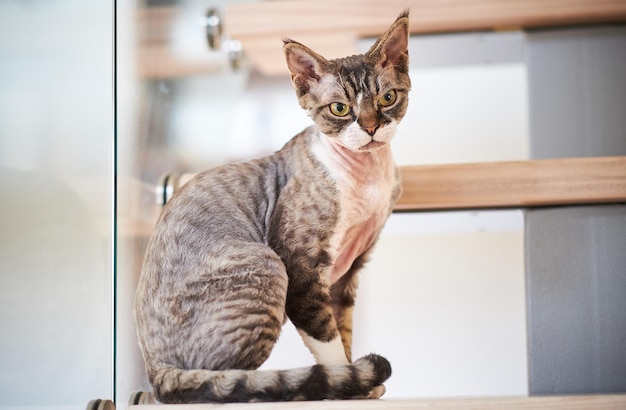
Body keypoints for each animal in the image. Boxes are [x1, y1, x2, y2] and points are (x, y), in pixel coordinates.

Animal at [133, 9, 410, 404]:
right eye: (340, 108)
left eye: (387, 98)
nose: (370, 127)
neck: (369, 177)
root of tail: (153, 370)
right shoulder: (301, 266)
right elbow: (327, 339)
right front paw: (344, 384)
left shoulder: (349, 271)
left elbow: (344, 331)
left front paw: (360, 385)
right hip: (266, 262)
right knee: (218, 383)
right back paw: (294, 388)